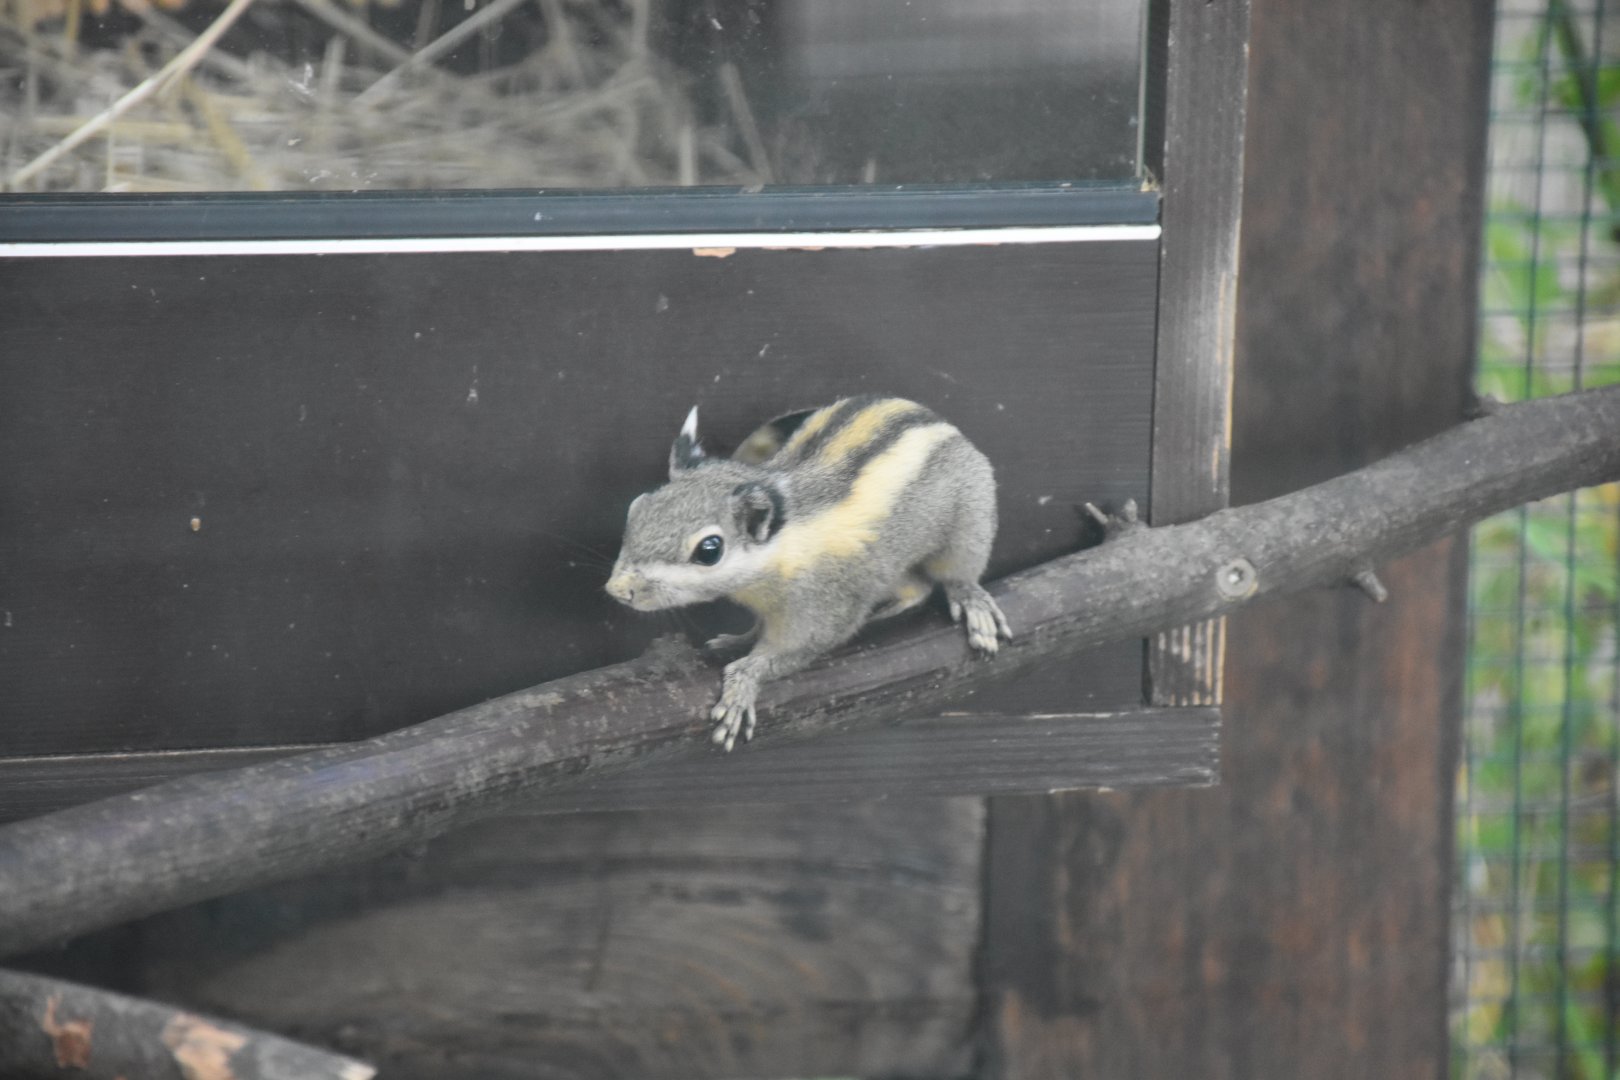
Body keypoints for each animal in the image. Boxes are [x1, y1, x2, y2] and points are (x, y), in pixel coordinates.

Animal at [605, 395, 1013, 751]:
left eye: (709, 551)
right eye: (637, 508)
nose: (617, 589)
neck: (780, 552)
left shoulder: (823, 603)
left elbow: (794, 649)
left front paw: (743, 682)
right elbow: (758, 630)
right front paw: (738, 640)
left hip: (968, 521)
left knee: (952, 574)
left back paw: (969, 599)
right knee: (916, 586)